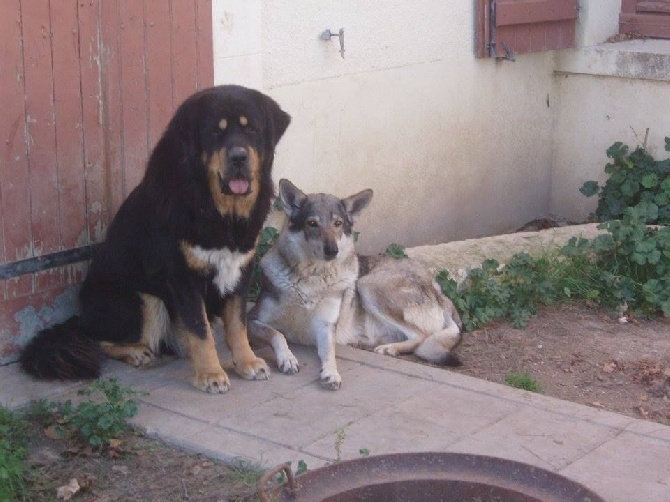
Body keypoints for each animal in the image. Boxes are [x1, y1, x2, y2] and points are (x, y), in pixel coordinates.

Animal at [20, 85, 292, 392]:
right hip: (145, 301)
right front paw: (211, 373)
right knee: (98, 339)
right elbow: (200, 330)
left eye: (251, 130)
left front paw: (247, 362)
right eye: (216, 132)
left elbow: (237, 323)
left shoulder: (240, 269)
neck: (217, 210)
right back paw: (137, 352)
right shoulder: (183, 277)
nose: (239, 157)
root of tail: (79, 318)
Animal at [249, 178, 464, 390]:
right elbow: (277, 333)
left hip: (368, 285)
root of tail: (440, 292)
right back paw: (365, 343)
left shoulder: (325, 327)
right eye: (312, 223)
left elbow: (329, 354)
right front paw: (288, 359)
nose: (332, 250)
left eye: (338, 223)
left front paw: (331, 373)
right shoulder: (253, 320)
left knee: (421, 336)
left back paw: (388, 348)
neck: (311, 278)